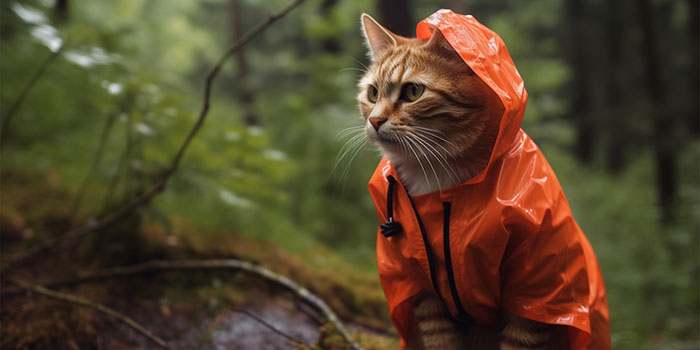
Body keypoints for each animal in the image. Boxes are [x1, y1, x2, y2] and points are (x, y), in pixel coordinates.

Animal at [360, 12, 564, 348]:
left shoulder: (533, 294)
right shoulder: (421, 287)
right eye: (372, 93)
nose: (374, 120)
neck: (437, 178)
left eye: (413, 92)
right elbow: (440, 339)